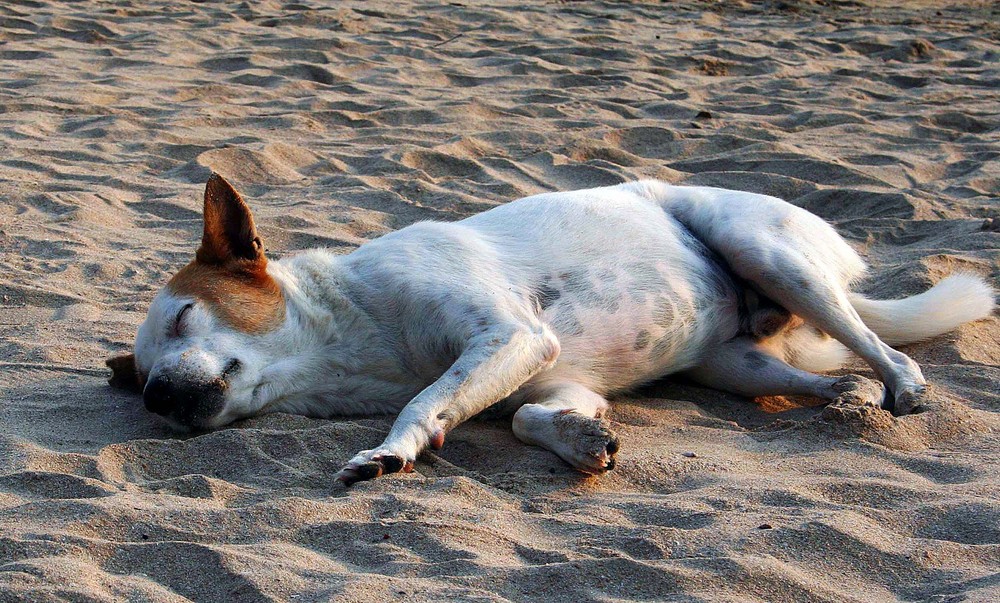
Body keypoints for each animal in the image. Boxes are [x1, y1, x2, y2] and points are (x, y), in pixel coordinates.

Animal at [105, 175, 996, 486]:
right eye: (141, 382)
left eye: (185, 313)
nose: (153, 395)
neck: (351, 340)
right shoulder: (550, 370)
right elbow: (531, 415)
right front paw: (583, 439)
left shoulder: (514, 336)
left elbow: (426, 402)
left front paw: (389, 451)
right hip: (732, 365)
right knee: (822, 372)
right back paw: (845, 395)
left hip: (765, 248)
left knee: (883, 345)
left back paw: (903, 387)